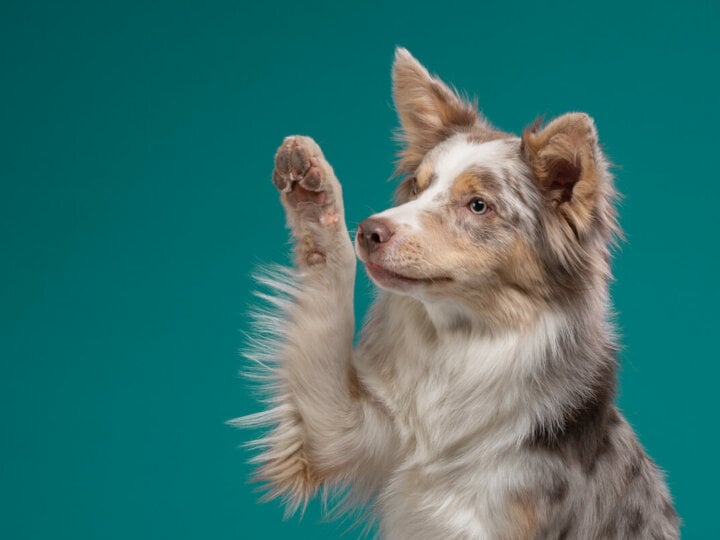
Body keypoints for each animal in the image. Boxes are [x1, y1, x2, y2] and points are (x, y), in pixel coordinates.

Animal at [232, 48, 680, 536]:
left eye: (478, 205)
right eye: (416, 186)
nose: (369, 232)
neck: (463, 343)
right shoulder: (344, 432)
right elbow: (327, 310)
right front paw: (314, 195)